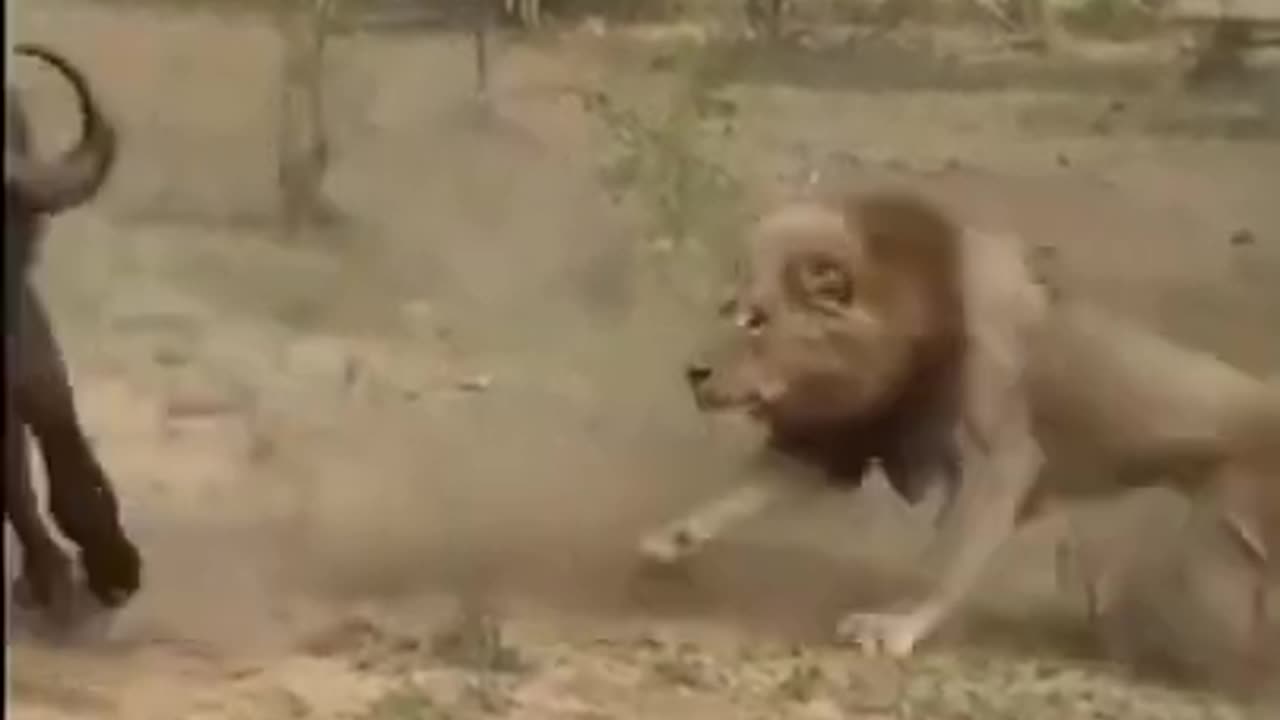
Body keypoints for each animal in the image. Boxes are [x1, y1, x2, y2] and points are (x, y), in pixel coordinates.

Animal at [645, 189, 1274, 661]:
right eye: (730, 310)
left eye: (758, 321)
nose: (691, 372)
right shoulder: (843, 440)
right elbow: (740, 492)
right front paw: (670, 537)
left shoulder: (1000, 457)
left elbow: (945, 561)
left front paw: (894, 626)